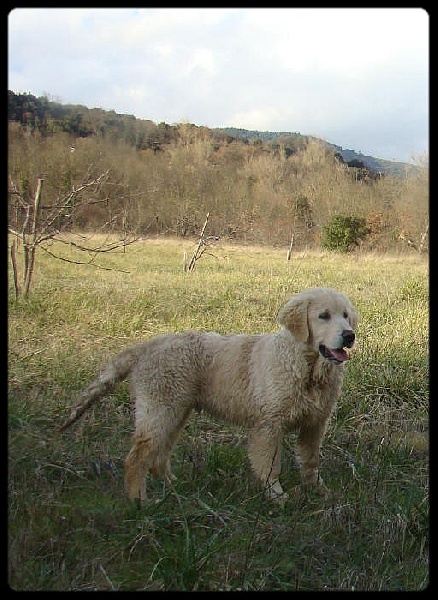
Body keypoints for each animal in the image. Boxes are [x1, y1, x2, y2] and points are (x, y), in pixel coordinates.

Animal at [60, 288, 356, 504]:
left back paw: (175, 489)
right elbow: (270, 466)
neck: (308, 369)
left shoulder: (315, 423)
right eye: (323, 316)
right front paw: (277, 496)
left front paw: (318, 492)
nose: (349, 335)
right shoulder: (269, 425)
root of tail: (148, 345)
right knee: (137, 457)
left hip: (176, 412)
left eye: (345, 315)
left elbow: (310, 461)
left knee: (158, 457)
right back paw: (140, 502)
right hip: (160, 409)